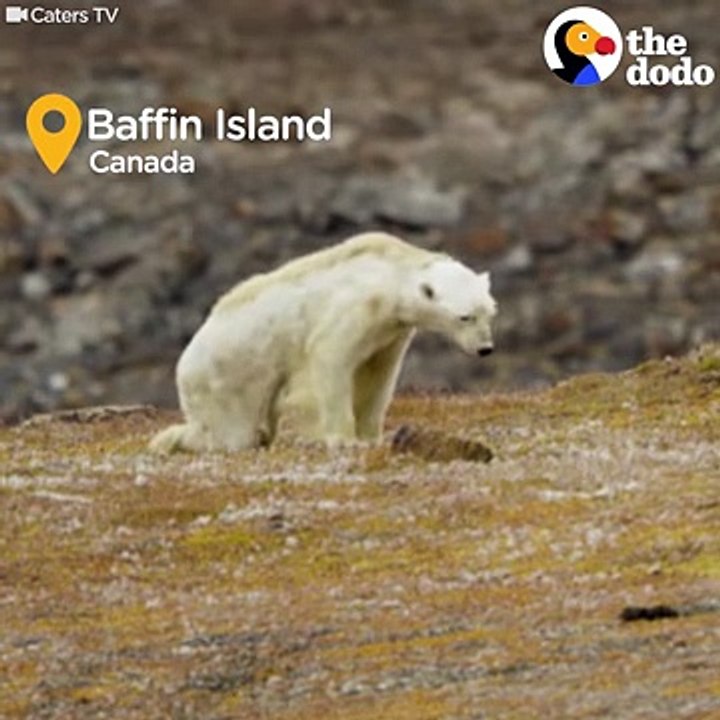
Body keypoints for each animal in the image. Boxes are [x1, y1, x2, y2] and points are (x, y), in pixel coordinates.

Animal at [150, 232, 497, 453]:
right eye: (465, 317)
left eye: (489, 312)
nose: (485, 349)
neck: (391, 273)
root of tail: (183, 365)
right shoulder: (356, 308)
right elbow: (331, 359)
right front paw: (343, 439)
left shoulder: (391, 330)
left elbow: (379, 375)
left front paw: (371, 437)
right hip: (227, 379)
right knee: (230, 433)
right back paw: (169, 441)